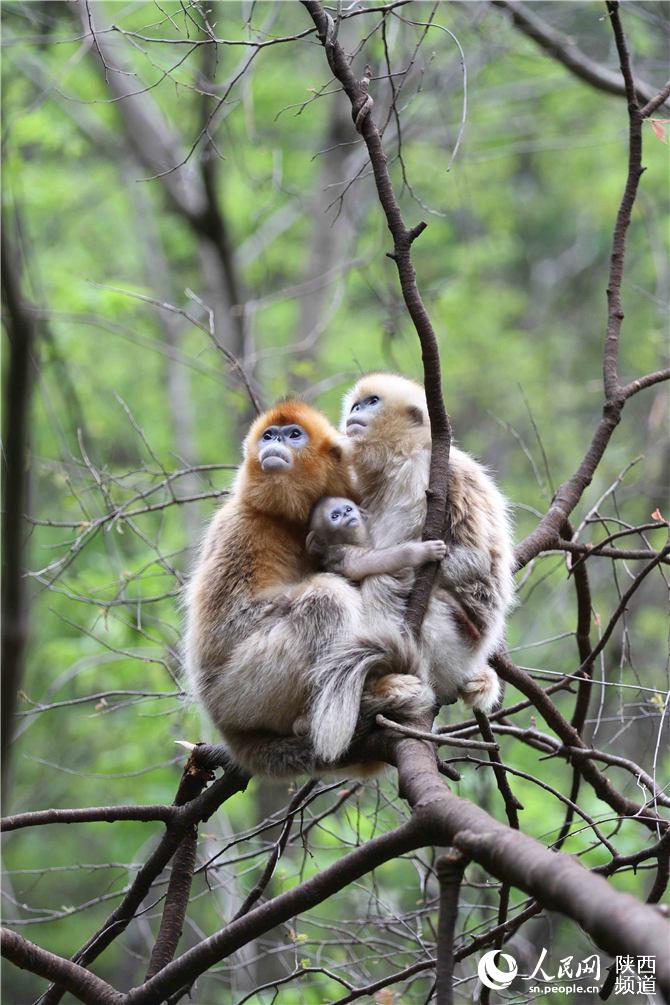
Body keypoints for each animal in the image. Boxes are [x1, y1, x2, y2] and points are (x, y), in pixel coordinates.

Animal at [183, 399, 435, 775]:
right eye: (269, 435)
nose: (274, 441)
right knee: (327, 598)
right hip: (237, 693)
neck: (290, 519)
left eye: (293, 434)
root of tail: (228, 730)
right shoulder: (240, 522)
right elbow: (228, 623)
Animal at [337, 375, 518, 715]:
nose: (355, 411)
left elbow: (472, 559)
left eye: (372, 402)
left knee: (386, 581)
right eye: (356, 404)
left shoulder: (421, 474)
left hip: (453, 641)